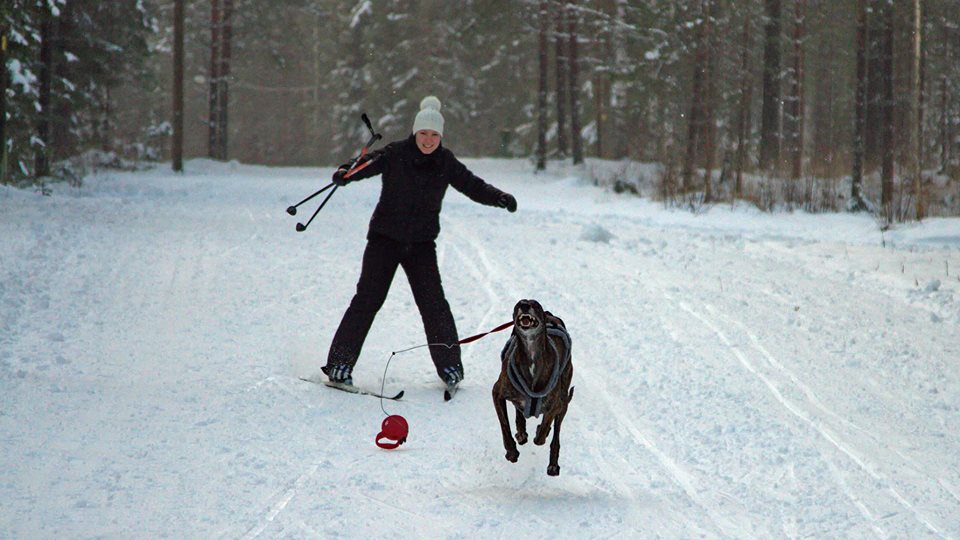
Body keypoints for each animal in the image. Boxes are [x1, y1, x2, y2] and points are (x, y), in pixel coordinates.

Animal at [496, 300, 568, 476]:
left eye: (535, 305)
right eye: (517, 305)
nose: (524, 304)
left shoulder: (556, 404)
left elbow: (542, 434)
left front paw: (540, 431)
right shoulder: (498, 393)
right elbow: (504, 425)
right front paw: (511, 452)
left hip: (564, 402)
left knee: (556, 434)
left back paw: (553, 464)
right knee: (519, 413)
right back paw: (521, 432)